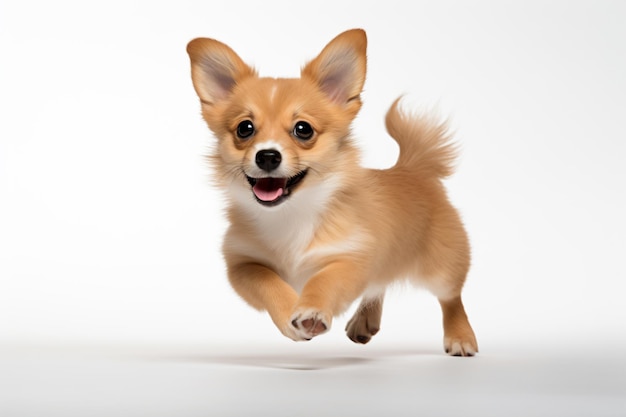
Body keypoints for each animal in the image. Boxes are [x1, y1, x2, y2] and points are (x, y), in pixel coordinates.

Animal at [185, 28, 478, 354]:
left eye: (303, 129)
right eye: (244, 128)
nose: (267, 156)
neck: (292, 214)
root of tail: (413, 168)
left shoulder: (353, 257)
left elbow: (325, 281)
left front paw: (312, 310)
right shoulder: (242, 263)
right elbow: (268, 282)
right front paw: (290, 315)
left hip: (442, 267)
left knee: (451, 298)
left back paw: (460, 336)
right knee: (379, 286)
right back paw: (365, 321)